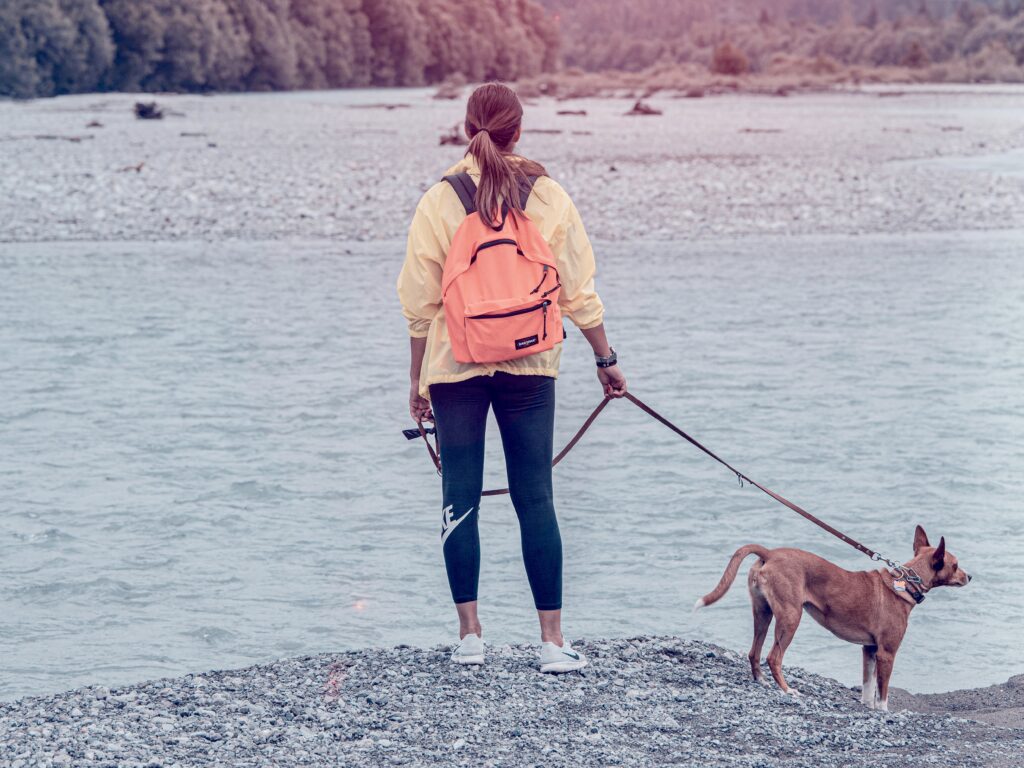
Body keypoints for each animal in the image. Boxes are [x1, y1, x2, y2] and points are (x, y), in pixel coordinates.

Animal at [696, 528, 966, 712]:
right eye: (955, 565)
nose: (970, 576)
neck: (906, 584)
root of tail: (769, 553)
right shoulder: (886, 653)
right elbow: (883, 692)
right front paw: (883, 712)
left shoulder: (869, 649)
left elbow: (868, 686)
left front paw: (867, 707)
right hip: (791, 617)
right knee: (773, 657)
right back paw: (787, 689)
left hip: (763, 613)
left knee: (754, 652)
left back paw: (761, 680)